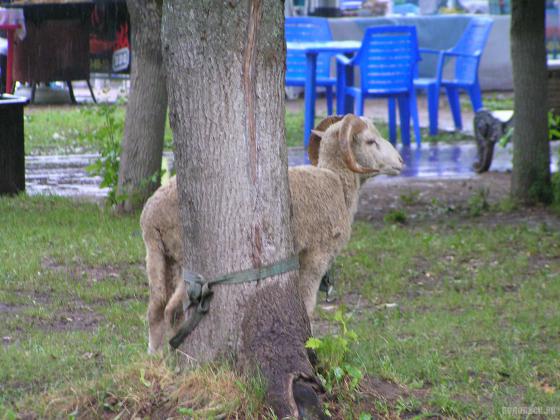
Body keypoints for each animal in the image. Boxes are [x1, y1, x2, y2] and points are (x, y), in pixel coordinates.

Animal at [140, 113, 402, 352]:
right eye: (370, 141)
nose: (400, 161)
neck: (337, 182)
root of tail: (152, 216)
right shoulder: (316, 255)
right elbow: (308, 303)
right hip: (186, 258)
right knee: (172, 310)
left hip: (162, 257)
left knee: (156, 309)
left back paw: (156, 358)